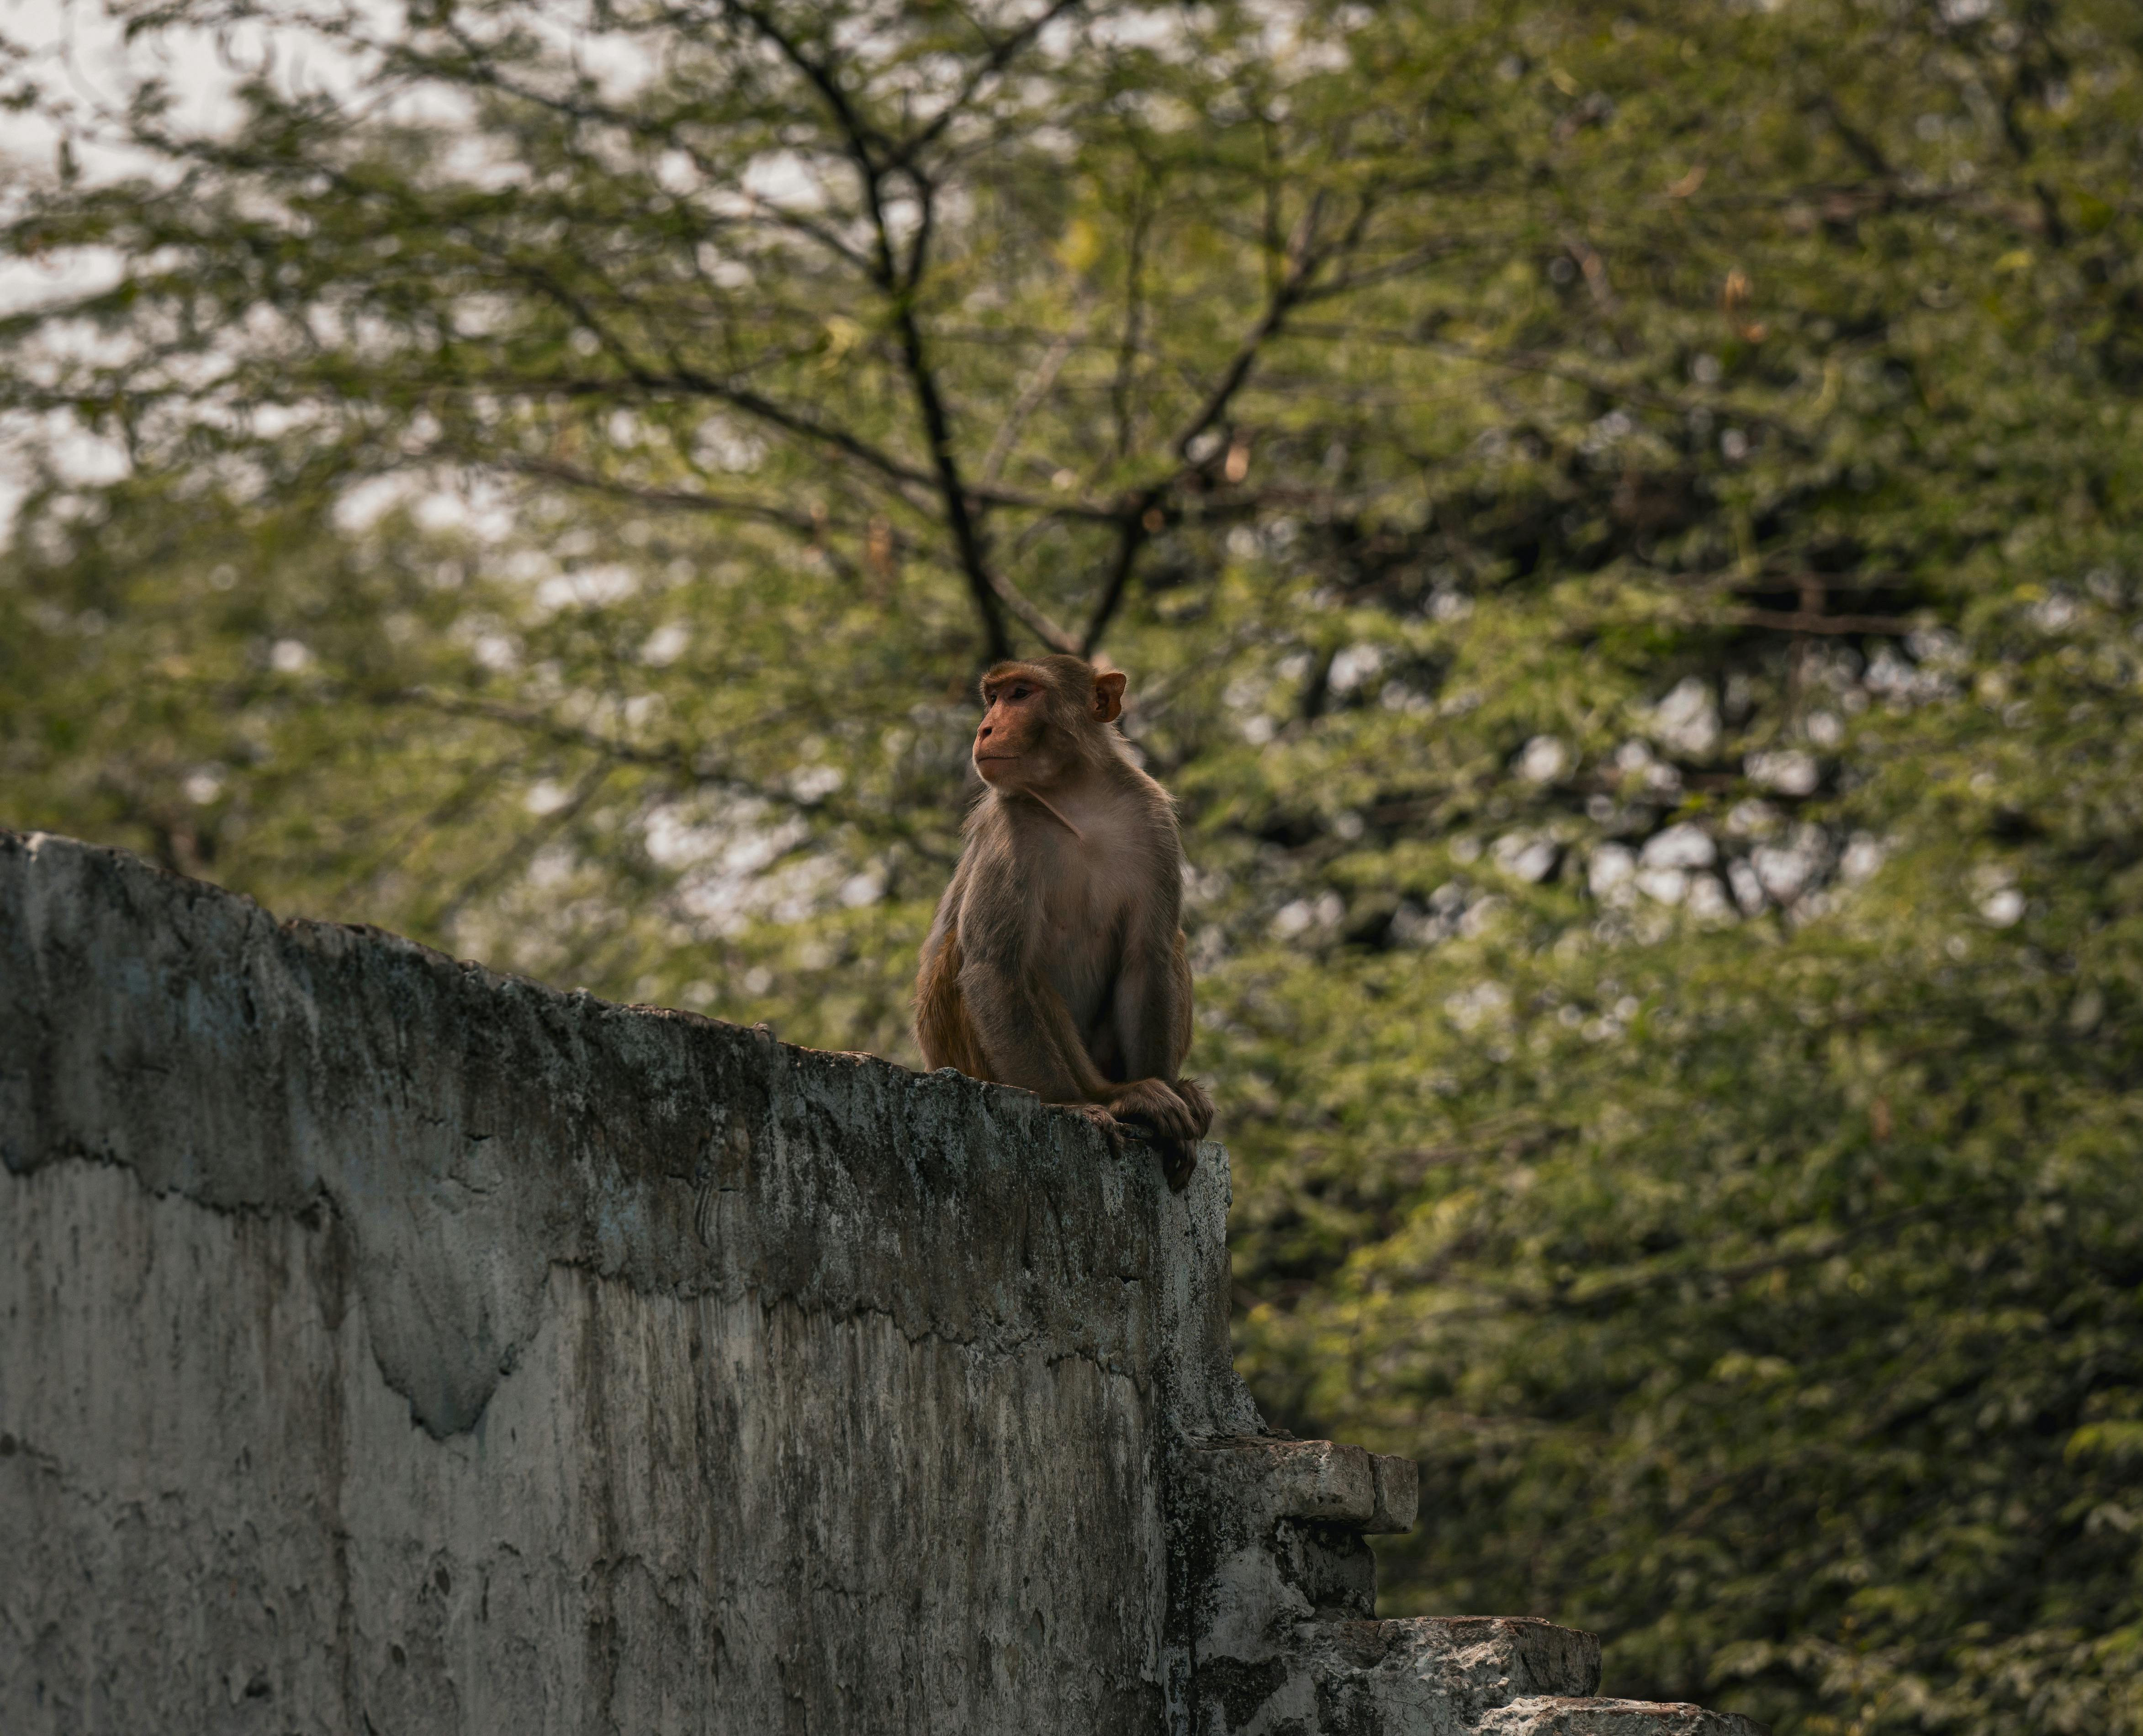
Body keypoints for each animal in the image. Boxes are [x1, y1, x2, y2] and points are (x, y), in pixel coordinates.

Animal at [913, 655, 1217, 1183]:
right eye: (993, 699)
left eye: (1020, 694)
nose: (984, 728)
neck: (1078, 800)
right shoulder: (1009, 829)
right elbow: (994, 968)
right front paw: (1075, 1105)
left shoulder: (1152, 818)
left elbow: (1148, 957)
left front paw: (1168, 1114)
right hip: (966, 1053)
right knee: (1010, 966)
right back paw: (1113, 1096)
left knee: (1170, 944)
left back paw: (1173, 1089)